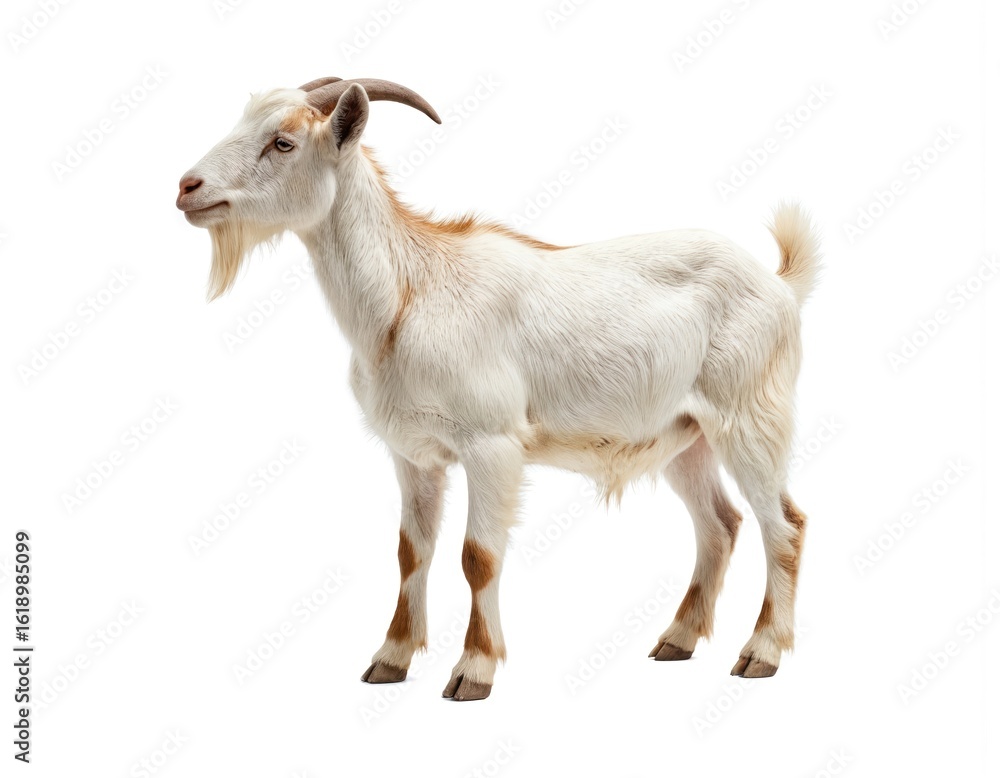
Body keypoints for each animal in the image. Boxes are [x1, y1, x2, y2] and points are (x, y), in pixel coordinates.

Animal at [176, 77, 820, 701]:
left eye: (283, 142)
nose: (187, 186)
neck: (409, 294)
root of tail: (779, 283)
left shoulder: (491, 444)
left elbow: (478, 556)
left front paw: (473, 672)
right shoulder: (414, 453)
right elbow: (412, 551)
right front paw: (389, 659)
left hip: (750, 417)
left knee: (784, 526)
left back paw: (760, 654)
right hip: (686, 436)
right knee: (720, 525)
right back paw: (678, 640)